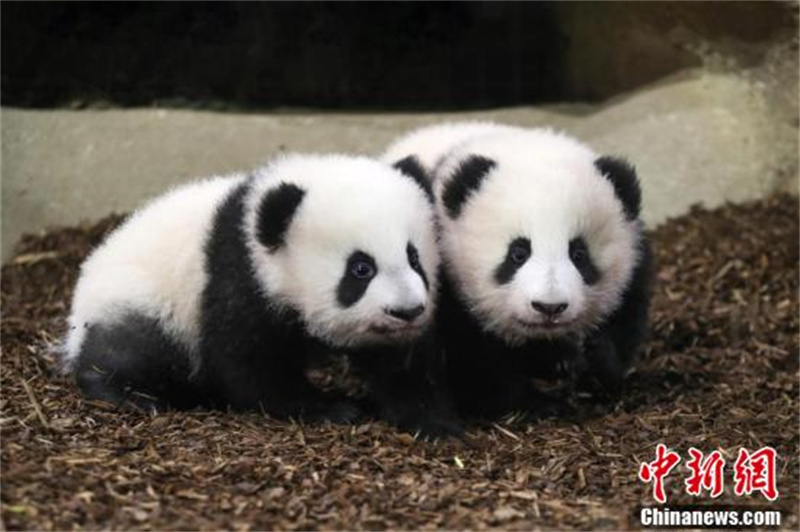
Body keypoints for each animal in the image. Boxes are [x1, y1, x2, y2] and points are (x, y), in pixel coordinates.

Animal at [62, 154, 460, 435]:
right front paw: (331, 409)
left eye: (414, 257)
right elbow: (249, 364)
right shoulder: (237, 278)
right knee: (129, 349)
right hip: (143, 302)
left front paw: (433, 422)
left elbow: (400, 364)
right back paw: (128, 394)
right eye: (361, 269)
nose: (407, 311)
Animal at [382, 122, 653, 417]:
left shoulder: (634, 262)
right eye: (518, 253)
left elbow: (624, 318)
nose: (549, 307)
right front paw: (537, 402)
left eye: (579, 254)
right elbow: (476, 364)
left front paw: (594, 363)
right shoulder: (446, 280)